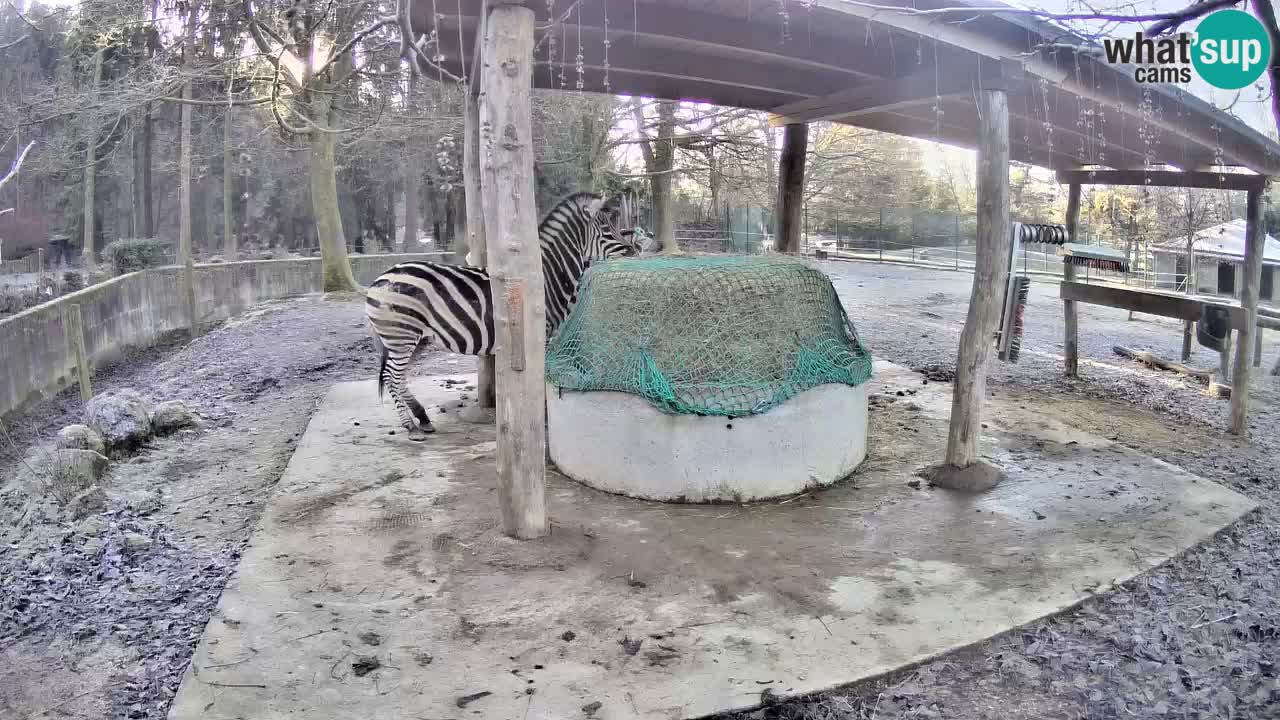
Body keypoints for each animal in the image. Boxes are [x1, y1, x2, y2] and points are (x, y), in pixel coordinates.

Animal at [368, 192, 650, 438]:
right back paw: (411, 427)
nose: (636, 253)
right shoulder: (540, 335)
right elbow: (537, 381)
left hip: (413, 340)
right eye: (608, 231)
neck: (547, 277)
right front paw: (540, 418)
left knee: (397, 377)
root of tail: (381, 278)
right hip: (402, 336)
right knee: (392, 376)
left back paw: (422, 419)